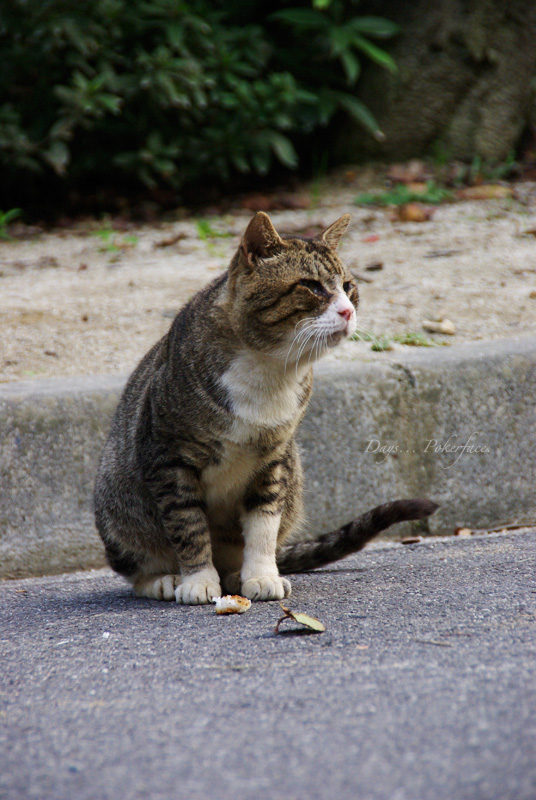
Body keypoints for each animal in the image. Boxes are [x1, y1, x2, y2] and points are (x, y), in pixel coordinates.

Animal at [94, 209, 438, 604]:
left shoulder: (273, 460)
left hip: (293, 475)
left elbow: (263, 525)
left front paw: (260, 575)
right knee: (138, 566)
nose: (348, 310)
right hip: (118, 503)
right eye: (312, 286)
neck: (270, 370)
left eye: (349, 286)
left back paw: (234, 576)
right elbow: (188, 525)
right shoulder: (168, 458)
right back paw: (165, 579)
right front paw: (197, 580)